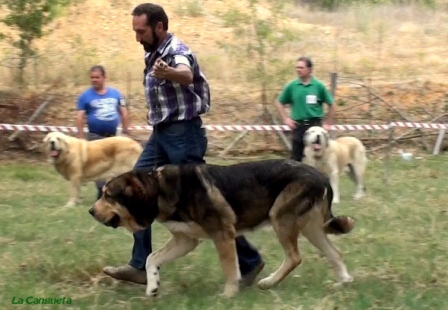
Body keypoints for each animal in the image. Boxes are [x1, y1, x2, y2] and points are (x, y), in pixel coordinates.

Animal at [87, 160, 356, 298]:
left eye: (109, 196)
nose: (90, 211)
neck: (159, 189)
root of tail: (321, 176)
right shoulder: (186, 240)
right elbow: (152, 258)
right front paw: (152, 286)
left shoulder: (222, 234)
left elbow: (229, 267)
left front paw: (228, 295)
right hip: (311, 228)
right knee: (335, 253)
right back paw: (343, 283)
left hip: (281, 218)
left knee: (294, 257)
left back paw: (268, 282)